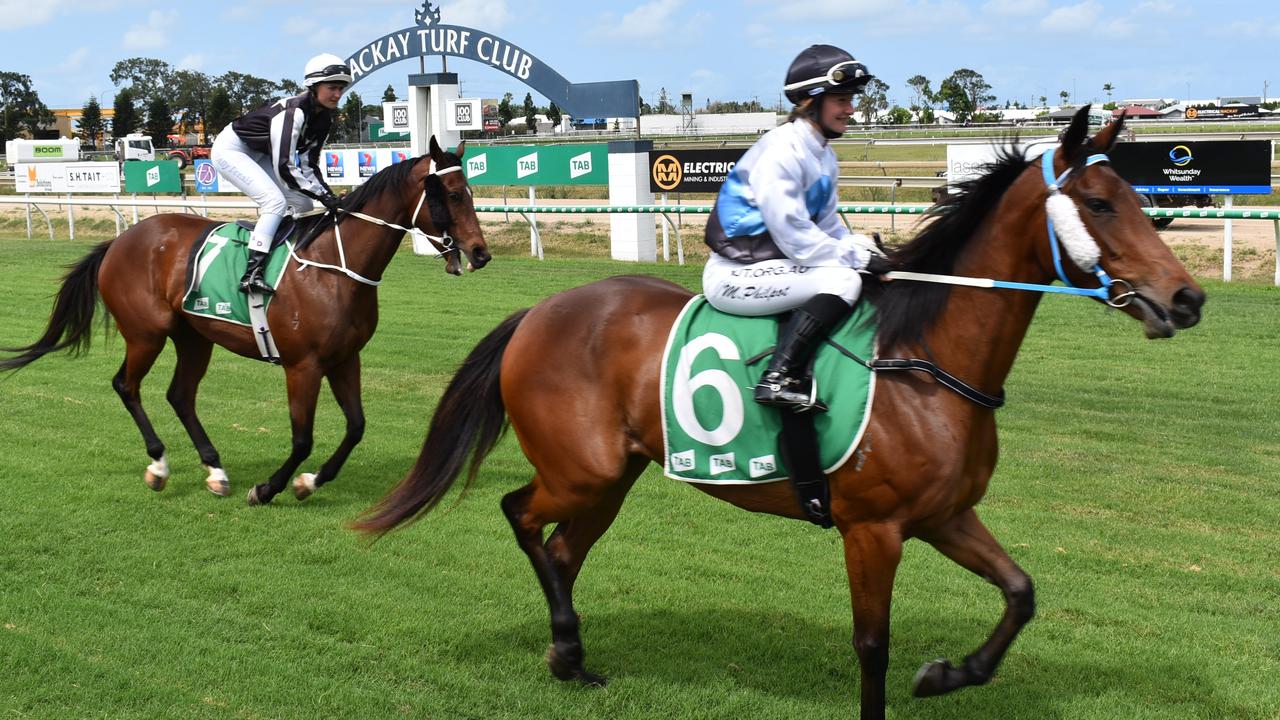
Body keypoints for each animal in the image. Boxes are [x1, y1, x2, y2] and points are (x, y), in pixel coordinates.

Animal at [1, 135, 488, 504]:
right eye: (452, 194)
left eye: (469, 191)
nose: (481, 253)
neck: (334, 267)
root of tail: (119, 241)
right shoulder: (303, 366)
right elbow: (302, 438)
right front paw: (269, 487)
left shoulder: (346, 359)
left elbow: (356, 428)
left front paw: (309, 482)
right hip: (145, 333)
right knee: (127, 386)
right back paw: (158, 463)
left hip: (194, 337)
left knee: (180, 395)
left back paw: (215, 470)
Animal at [355, 107, 1203, 717]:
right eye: (1099, 202)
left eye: (1142, 201)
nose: (1186, 298)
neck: (922, 358)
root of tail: (538, 311)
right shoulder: (874, 529)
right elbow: (872, 645)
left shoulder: (945, 515)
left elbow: (1021, 592)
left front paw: (947, 673)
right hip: (581, 469)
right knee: (520, 515)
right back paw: (564, 645)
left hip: (612, 477)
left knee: (561, 550)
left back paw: (572, 657)